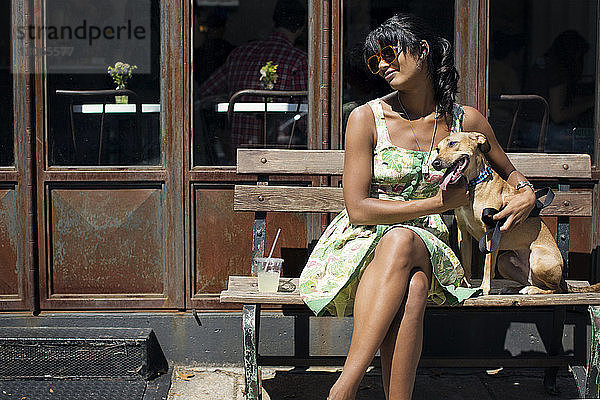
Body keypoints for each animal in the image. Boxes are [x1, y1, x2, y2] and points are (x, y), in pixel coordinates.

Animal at [432, 133, 596, 296]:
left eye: (452, 143)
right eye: (438, 149)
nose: (435, 163)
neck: (474, 185)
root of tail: (563, 278)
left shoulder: (490, 232)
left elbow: (487, 264)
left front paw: (484, 288)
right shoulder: (463, 233)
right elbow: (466, 264)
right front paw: (465, 286)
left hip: (538, 259)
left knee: (556, 289)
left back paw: (533, 290)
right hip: (504, 260)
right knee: (532, 282)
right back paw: (515, 288)